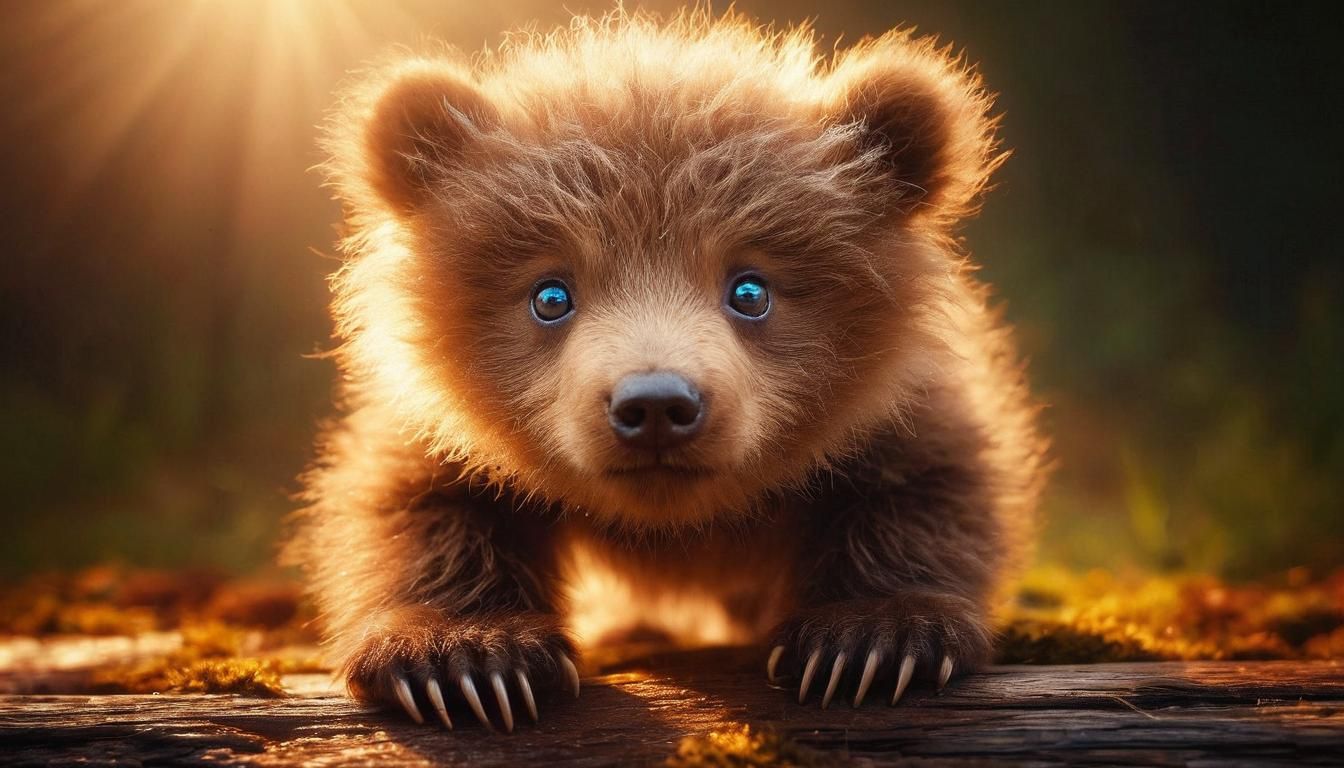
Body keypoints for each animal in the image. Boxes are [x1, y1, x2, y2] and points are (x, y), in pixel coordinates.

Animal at [289, 10, 1046, 732]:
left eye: (750, 289)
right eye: (551, 295)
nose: (655, 404)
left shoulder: (895, 404)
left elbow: (929, 486)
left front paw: (873, 640)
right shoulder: (441, 427)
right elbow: (411, 506)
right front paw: (464, 659)